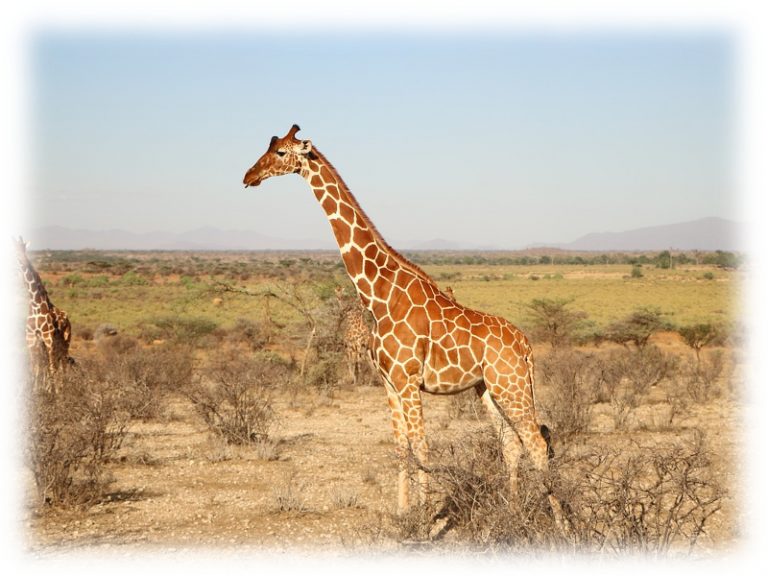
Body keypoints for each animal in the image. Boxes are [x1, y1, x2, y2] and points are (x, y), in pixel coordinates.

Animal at [16, 238, 73, 391]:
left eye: (24, 249)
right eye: (14, 250)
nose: (23, 260)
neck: (35, 305)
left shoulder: (48, 339)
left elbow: (52, 368)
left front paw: (55, 393)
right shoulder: (32, 339)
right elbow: (35, 367)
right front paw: (37, 391)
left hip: (65, 341)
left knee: (62, 364)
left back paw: (63, 388)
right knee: (53, 364)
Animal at [243, 125, 556, 515]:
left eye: (281, 153)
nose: (248, 176)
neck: (377, 295)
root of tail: (526, 345)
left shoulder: (408, 381)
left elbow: (422, 446)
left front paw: (425, 515)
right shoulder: (389, 383)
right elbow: (401, 446)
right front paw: (402, 511)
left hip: (510, 384)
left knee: (537, 442)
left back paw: (558, 520)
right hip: (487, 388)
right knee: (512, 442)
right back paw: (512, 511)